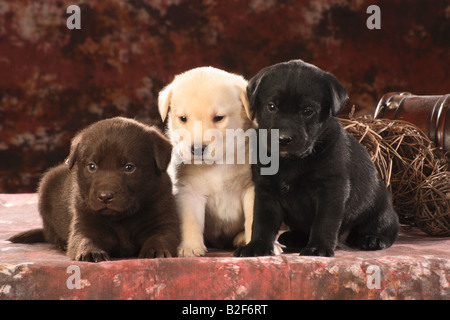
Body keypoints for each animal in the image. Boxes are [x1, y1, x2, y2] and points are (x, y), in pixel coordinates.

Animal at [159, 67, 256, 258]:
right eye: (183, 118)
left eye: (219, 118)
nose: (197, 149)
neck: (217, 163)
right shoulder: (189, 191)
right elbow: (190, 221)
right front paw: (190, 247)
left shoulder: (252, 187)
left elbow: (253, 220)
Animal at [234, 60, 400, 258]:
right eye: (271, 107)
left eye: (307, 111)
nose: (283, 139)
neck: (291, 162)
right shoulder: (266, 191)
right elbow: (261, 222)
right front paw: (256, 246)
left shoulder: (331, 190)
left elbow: (324, 222)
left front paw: (318, 248)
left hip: (378, 204)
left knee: (388, 226)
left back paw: (372, 238)